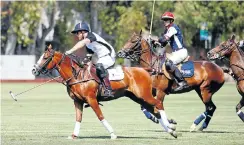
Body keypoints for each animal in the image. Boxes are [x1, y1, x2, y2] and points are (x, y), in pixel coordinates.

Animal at [31, 44, 177, 139]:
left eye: (45, 57)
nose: (34, 70)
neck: (77, 75)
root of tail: (145, 70)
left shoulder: (91, 99)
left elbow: (100, 116)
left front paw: (112, 134)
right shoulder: (77, 101)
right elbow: (78, 118)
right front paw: (74, 135)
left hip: (144, 94)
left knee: (158, 104)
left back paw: (171, 127)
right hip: (137, 97)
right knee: (155, 111)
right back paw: (170, 131)